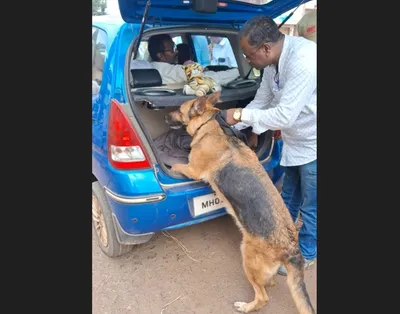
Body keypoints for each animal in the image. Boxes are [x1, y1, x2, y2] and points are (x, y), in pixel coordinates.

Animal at [166, 91, 316, 314]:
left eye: (179, 109)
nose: (165, 116)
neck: (209, 126)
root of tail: (292, 249)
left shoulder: (193, 169)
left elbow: (177, 164)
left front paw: (171, 166)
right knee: (268, 283)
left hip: (247, 257)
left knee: (263, 296)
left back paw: (246, 306)